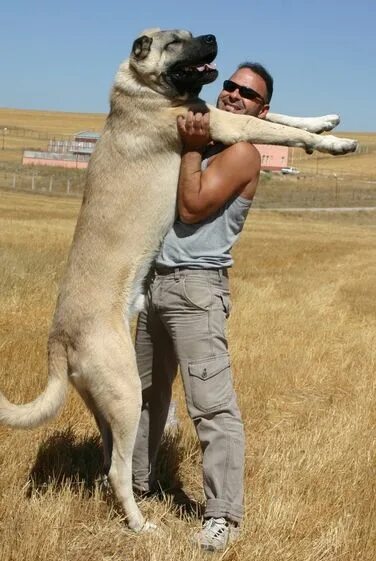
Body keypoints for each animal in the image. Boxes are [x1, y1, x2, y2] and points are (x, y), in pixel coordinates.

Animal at [0, 29, 356, 528]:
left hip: (105, 401)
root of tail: (58, 338)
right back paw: (141, 526)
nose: (211, 37)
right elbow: (277, 129)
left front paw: (324, 122)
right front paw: (336, 142)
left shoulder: (217, 121)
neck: (144, 88)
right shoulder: (225, 126)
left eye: (191, 35)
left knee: (111, 458)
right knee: (116, 468)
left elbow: (278, 116)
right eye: (174, 42)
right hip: (127, 388)